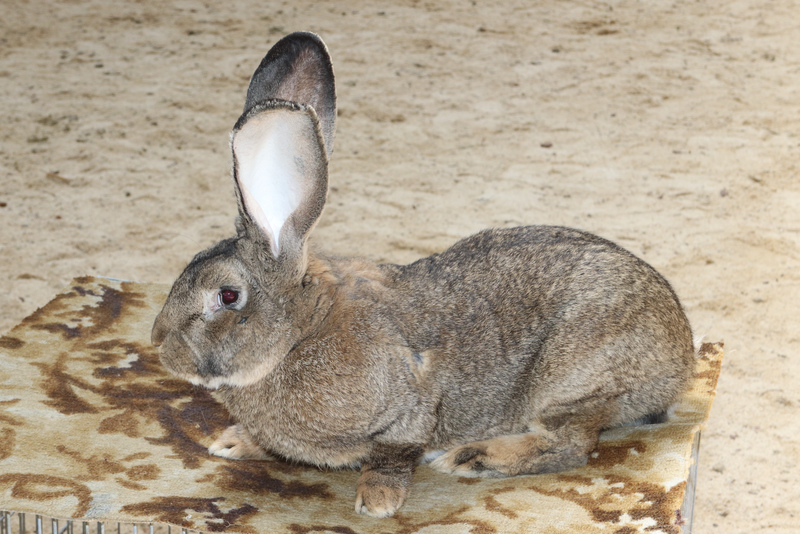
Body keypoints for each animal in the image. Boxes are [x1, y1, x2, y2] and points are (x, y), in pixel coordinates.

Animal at [150, 32, 692, 520]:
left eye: (227, 296)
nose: (158, 342)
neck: (299, 335)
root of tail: (681, 355)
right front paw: (234, 442)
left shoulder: (407, 410)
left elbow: (393, 455)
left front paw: (377, 501)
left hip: (575, 379)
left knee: (572, 443)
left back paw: (473, 456)